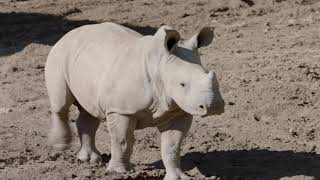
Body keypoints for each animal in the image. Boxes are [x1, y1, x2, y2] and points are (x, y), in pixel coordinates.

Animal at [45, 21, 225, 179]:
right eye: (182, 84)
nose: (214, 106)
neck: (161, 66)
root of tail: (70, 33)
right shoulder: (121, 109)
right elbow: (122, 140)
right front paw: (119, 172)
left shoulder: (178, 112)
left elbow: (172, 146)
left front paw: (178, 176)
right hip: (60, 54)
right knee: (61, 105)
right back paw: (61, 147)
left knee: (89, 111)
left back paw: (89, 160)